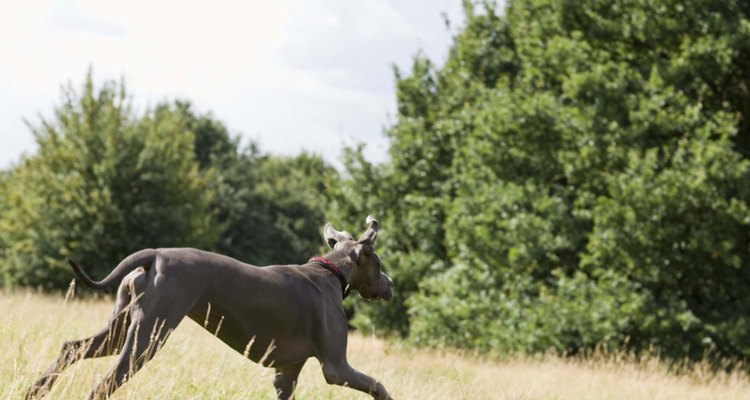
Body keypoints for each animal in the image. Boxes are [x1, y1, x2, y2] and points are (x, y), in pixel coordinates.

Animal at [26, 217, 396, 398]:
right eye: (378, 262)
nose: (391, 285)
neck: (331, 271)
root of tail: (155, 255)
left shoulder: (286, 373)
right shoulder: (336, 368)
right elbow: (379, 385)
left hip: (122, 327)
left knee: (72, 347)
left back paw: (34, 391)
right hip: (148, 336)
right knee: (102, 384)